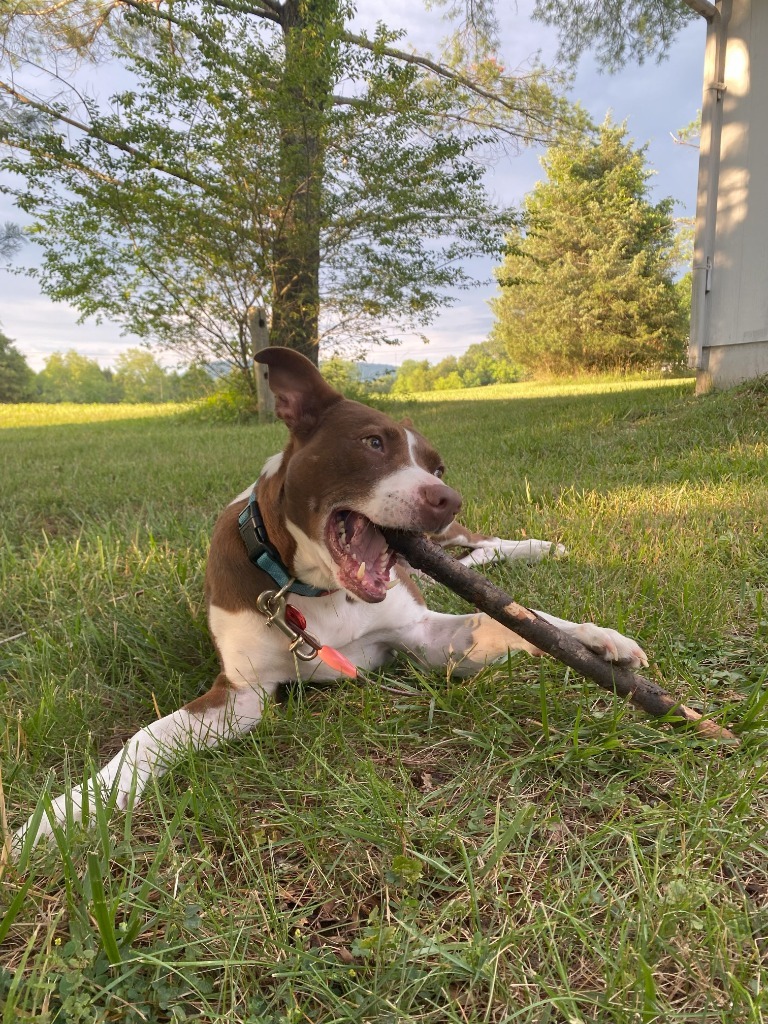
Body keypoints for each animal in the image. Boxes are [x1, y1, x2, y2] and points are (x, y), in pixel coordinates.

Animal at [13, 348, 651, 851]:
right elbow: (144, 739)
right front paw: (59, 818)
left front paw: (598, 640)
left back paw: (539, 547)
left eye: (437, 465)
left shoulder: (427, 637)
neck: (316, 590)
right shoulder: (241, 695)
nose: (448, 496)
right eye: (372, 443)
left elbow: (519, 619)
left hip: (446, 543)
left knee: (482, 547)